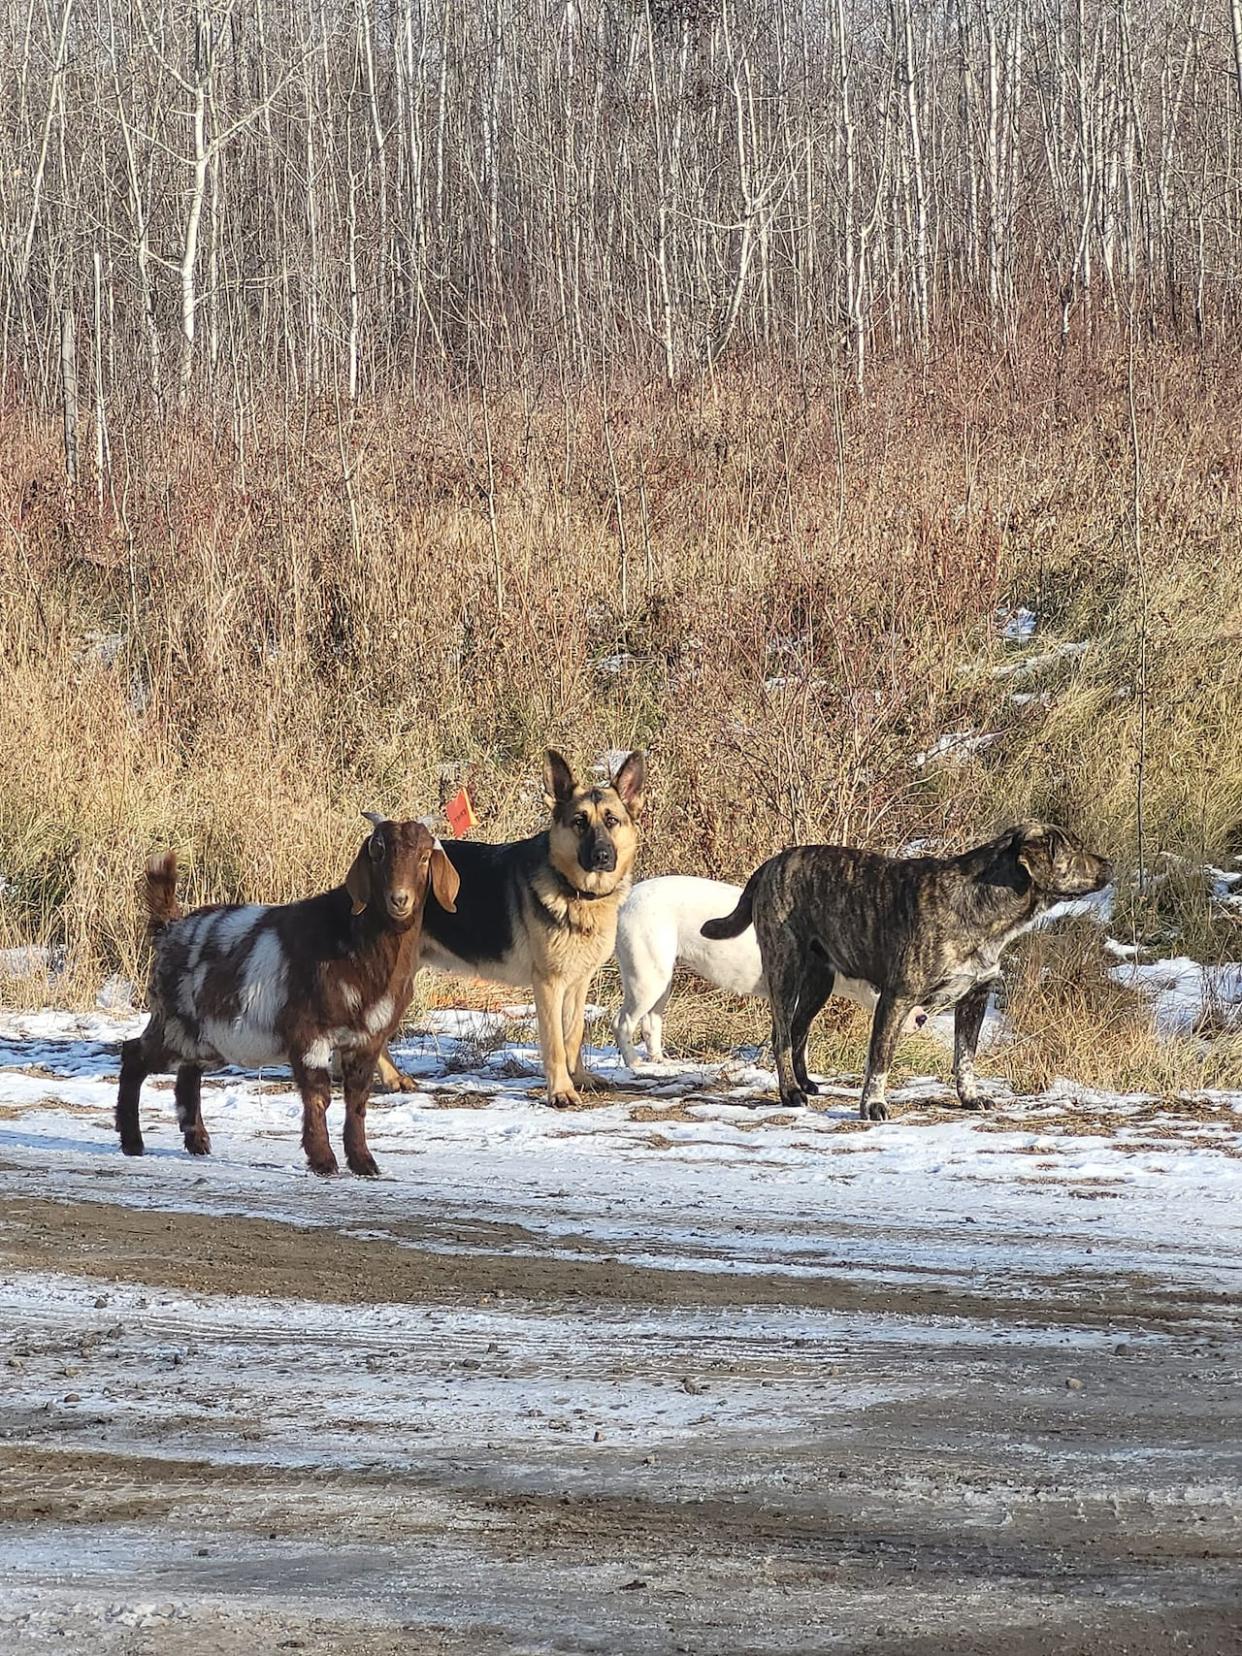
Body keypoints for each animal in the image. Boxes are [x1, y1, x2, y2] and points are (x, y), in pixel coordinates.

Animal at [113, 814, 457, 1179]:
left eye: (424, 856)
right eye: (376, 853)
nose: (399, 899)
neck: (355, 942)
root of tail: (170, 928)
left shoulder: (369, 1038)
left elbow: (358, 1099)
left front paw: (364, 1162)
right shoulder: (310, 1032)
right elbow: (318, 1095)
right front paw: (323, 1161)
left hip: (209, 1038)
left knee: (188, 1072)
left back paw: (197, 1141)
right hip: (175, 1022)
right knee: (134, 1054)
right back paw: (133, 1142)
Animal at [382, 755, 645, 1112]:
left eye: (612, 820)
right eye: (579, 821)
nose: (602, 856)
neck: (577, 893)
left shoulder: (577, 984)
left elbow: (574, 1034)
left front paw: (579, 1077)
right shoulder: (548, 985)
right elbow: (555, 1044)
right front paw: (561, 1091)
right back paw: (390, 1078)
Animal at [619, 874, 920, 1066]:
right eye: (878, 988)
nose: (922, 1018)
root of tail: (627, 900)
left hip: (661, 981)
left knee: (651, 1024)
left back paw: (660, 1062)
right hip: (646, 981)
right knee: (622, 1024)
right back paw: (634, 1064)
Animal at [705, 821, 1112, 1119]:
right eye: (1074, 848)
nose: (1108, 864)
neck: (985, 902)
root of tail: (771, 863)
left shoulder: (974, 998)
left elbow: (965, 1057)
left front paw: (970, 1098)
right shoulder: (897, 998)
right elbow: (880, 1058)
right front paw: (872, 1105)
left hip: (820, 980)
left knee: (799, 1029)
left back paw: (804, 1083)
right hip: (786, 968)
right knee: (782, 1035)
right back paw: (790, 1092)